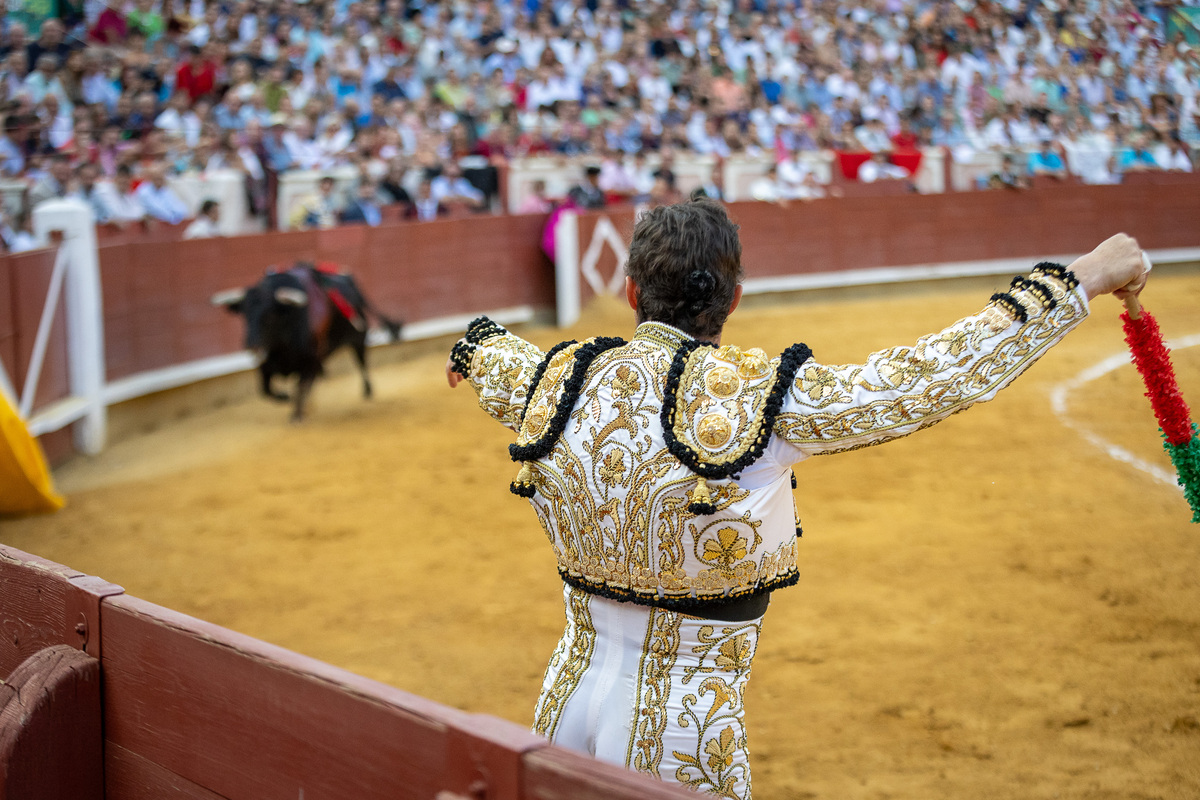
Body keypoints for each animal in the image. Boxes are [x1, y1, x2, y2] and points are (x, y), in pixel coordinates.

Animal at [211, 266, 403, 422]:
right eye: (245, 314)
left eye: (270, 314)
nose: (251, 345)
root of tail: (350, 281)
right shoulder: (267, 365)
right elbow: (265, 390)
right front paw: (285, 397)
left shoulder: (310, 360)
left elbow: (301, 387)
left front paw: (296, 415)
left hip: (358, 339)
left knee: (362, 362)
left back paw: (367, 391)